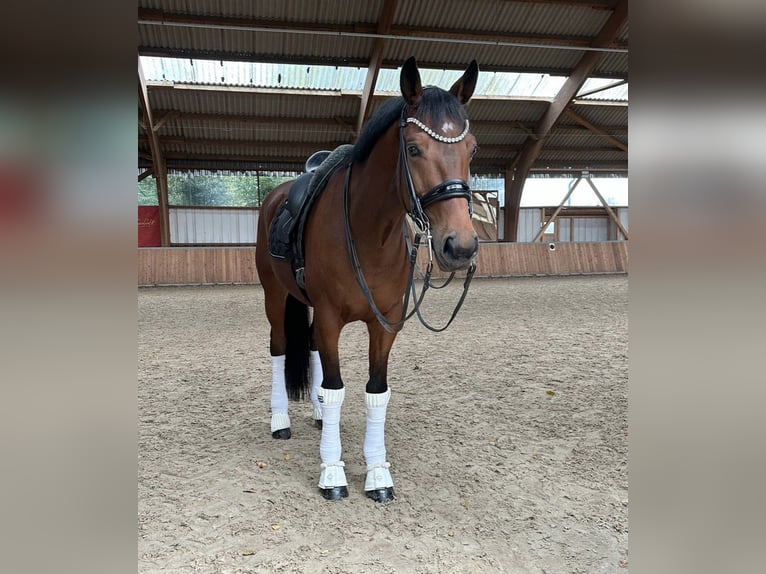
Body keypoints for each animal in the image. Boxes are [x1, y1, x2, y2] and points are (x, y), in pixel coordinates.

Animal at [255, 57, 476, 504]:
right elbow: (337, 387)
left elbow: (375, 392)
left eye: (472, 149)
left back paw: (318, 414)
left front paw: (377, 473)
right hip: (274, 296)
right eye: (414, 148)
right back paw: (280, 420)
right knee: (280, 348)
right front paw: (332, 473)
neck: (369, 232)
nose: (459, 246)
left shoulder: (384, 323)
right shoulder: (329, 317)